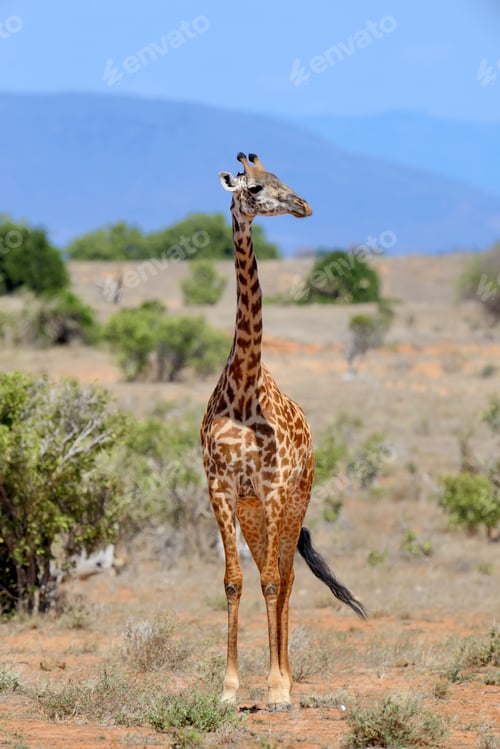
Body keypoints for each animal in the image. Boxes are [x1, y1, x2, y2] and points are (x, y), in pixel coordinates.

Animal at [200, 152, 366, 712]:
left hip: (296, 500)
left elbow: (274, 581)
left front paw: (274, 689)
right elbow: (233, 581)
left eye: (279, 178)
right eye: (252, 187)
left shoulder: (272, 488)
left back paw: (288, 680)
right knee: (268, 573)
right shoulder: (221, 487)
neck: (244, 383)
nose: (303, 205)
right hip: (254, 513)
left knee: (288, 576)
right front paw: (229, 689)